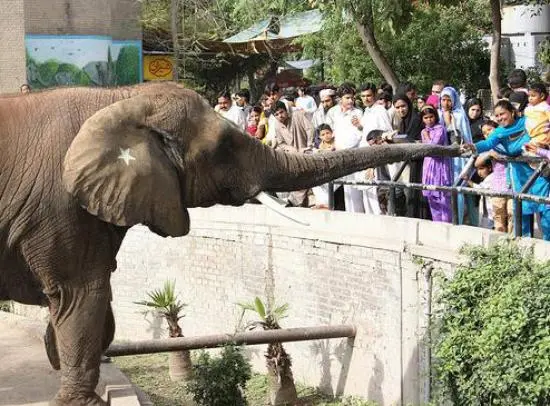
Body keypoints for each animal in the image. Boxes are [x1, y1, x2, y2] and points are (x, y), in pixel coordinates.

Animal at [0, 81, 462, 404]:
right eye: (226, 146)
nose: (460, 146)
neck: (120, 98)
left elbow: (91, 302)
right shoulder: (61, 208)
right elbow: (82, 296)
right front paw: (84, 399)